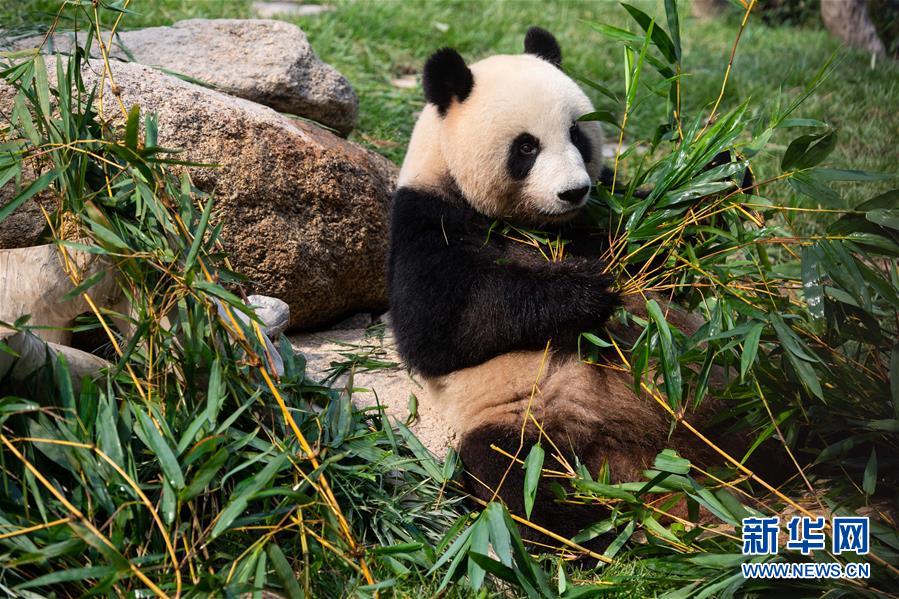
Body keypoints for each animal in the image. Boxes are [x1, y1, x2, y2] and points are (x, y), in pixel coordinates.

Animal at [388, 28, 771, 543]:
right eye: (526, 148)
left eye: (576, 133)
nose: (573, 191)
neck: (541, 226)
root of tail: (645, 461)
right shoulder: (425, 220)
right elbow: (440, 325)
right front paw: (585, 290)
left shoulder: (606, 207)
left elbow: (662, 233)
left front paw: (721, 172)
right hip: (528, 420)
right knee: (511, 473)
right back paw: (594, 526)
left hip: (718, 381)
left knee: (773, 405)